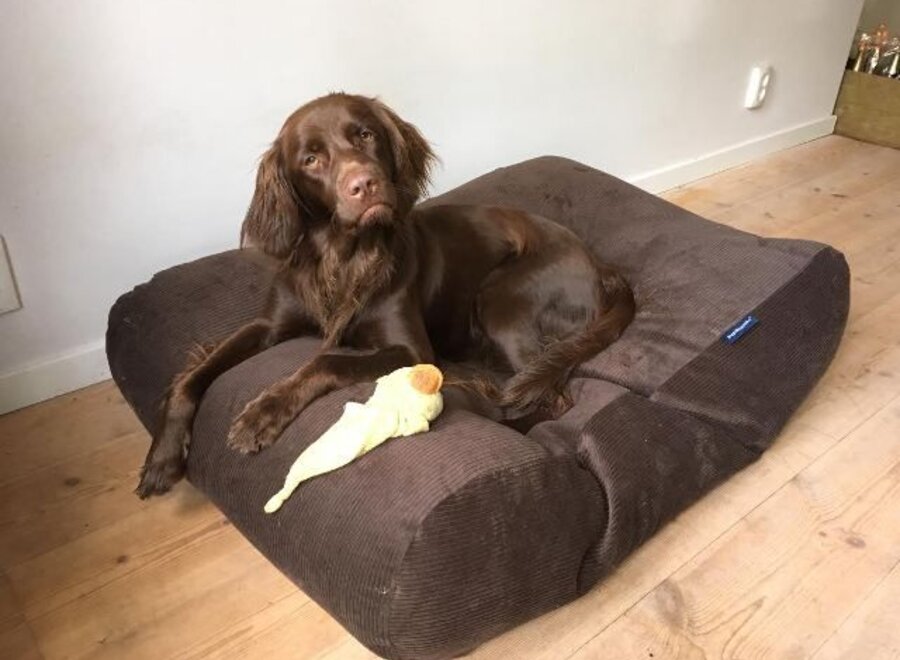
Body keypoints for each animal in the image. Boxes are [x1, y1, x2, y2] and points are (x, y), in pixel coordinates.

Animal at [137, 91, 636, 496]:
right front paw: (162, 458)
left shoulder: (411, 349)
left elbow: (327, 359)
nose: (365, 185)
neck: (343, 257)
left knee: (551, 398)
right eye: (310, 159)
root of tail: (601, 266)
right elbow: (192, 376)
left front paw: (264, 412)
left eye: (365, 134)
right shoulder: (267, 325)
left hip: (501, 298)